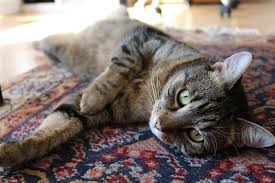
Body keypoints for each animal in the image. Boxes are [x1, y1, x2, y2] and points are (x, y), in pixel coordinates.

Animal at [0, 17, 275, 167]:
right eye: (183, 96)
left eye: (195, 135)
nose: (159, 124)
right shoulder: (140, 41)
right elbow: (120, 68)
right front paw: (93, 97)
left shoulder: (102, 110)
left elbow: (56, 127)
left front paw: (13, 153)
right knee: (53, 35)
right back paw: (32, 42)